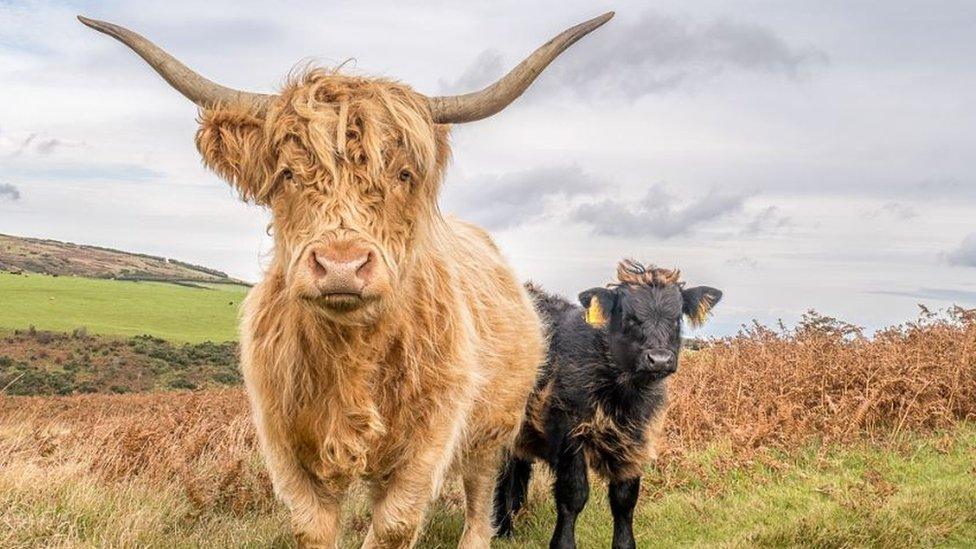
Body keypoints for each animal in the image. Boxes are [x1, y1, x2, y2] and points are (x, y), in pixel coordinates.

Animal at [80, 8, 612, 548]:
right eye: (288, 175)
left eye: (402, 175)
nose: (341, 265)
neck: (350, 357)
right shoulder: (284, 441)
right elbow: (312, 526)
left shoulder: (430, 438)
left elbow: (395, 524)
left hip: (493, 422)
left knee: (480, 489)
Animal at [496, 260, 716, 548]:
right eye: (627, 316)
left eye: (677, 317)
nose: (659, 359)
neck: (621, 395)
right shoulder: (570, 435)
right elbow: (574, 494)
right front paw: (563, 543)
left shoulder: (634, 441)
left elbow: (625, 499)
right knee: (501, 475)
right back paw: (503, 529)